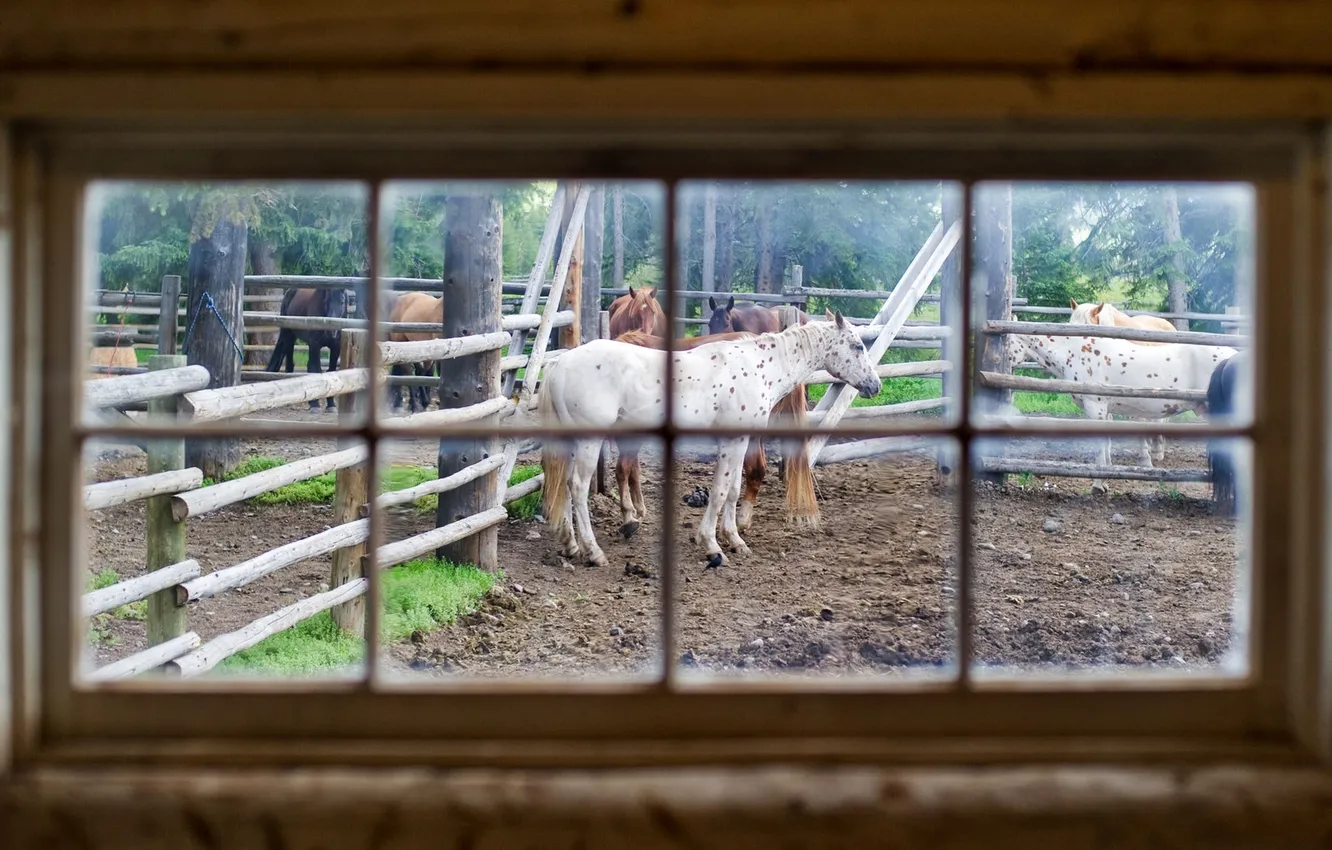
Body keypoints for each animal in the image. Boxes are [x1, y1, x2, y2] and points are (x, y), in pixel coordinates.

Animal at [1006, 327, 1236, 500]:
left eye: (1008, 341)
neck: (1076, 353)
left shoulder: (1095, 408)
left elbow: (1099, 447)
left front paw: (1098, 484)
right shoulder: (1106, 411)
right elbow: (1106, 446)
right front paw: (1105, 481)